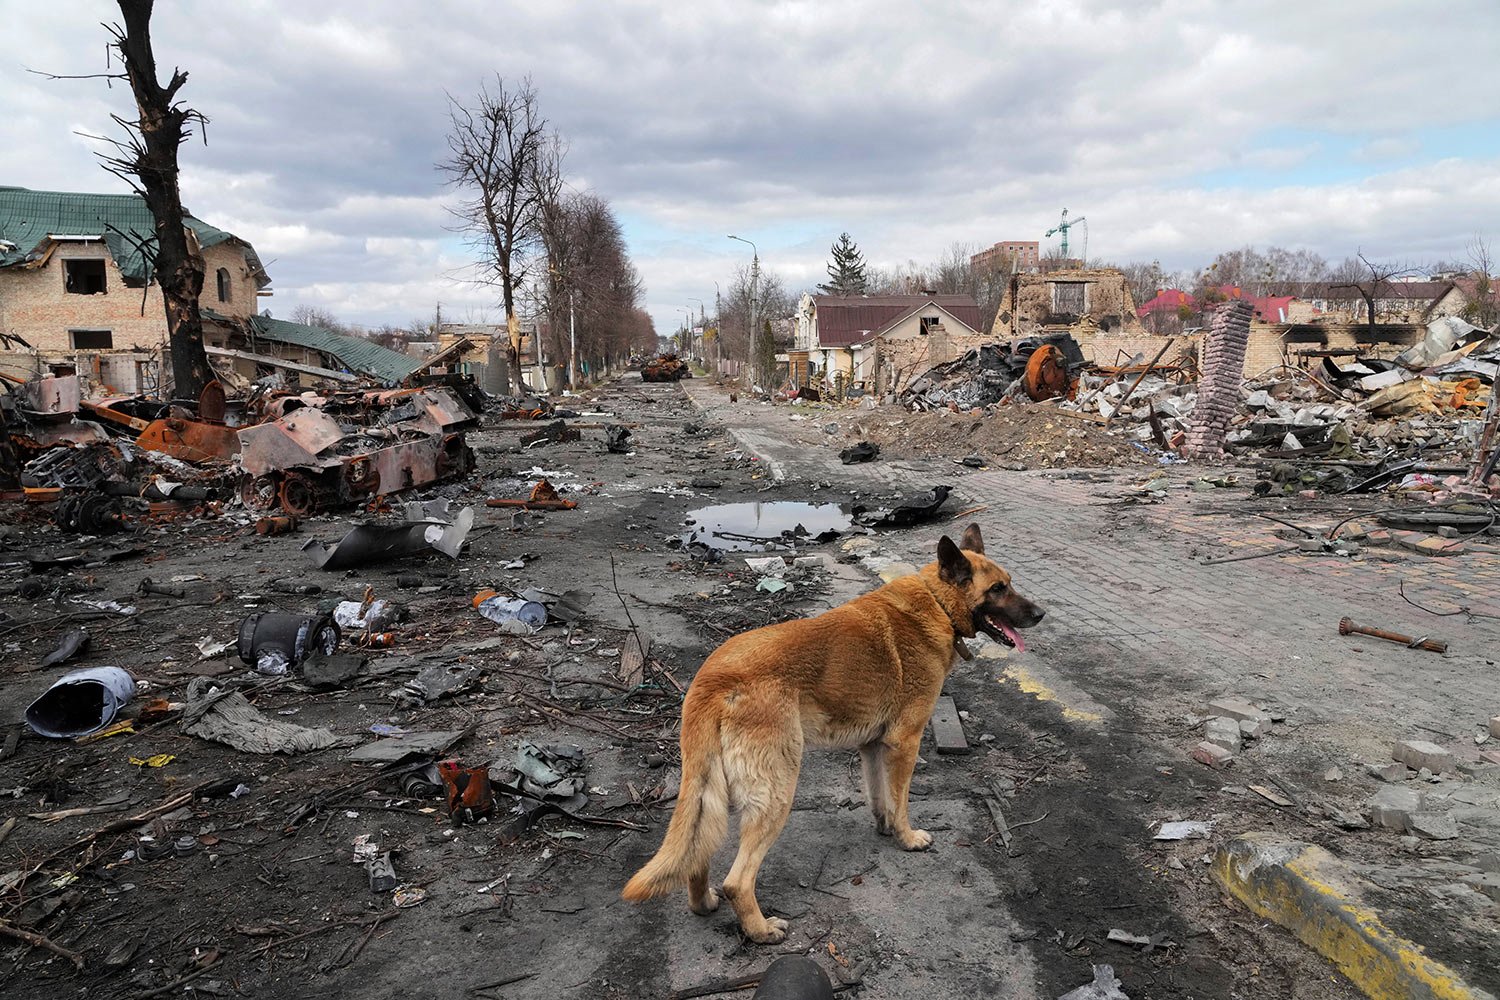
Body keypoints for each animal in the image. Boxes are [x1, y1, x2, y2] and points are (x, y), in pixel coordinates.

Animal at [621, 524, 1044, 947]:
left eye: (1010, 583)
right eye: (998, 589)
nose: (1041, 614)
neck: (937, 603)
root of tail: (713, 678)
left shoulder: (872, 745)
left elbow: (880, 796)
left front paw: (885, 826)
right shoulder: (905, 743)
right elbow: (901, 800)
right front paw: (907, 838)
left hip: (713, 791)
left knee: (699, 852)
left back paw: (704, 903)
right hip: (777, 791)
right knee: (738, 881)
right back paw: (761, 930)